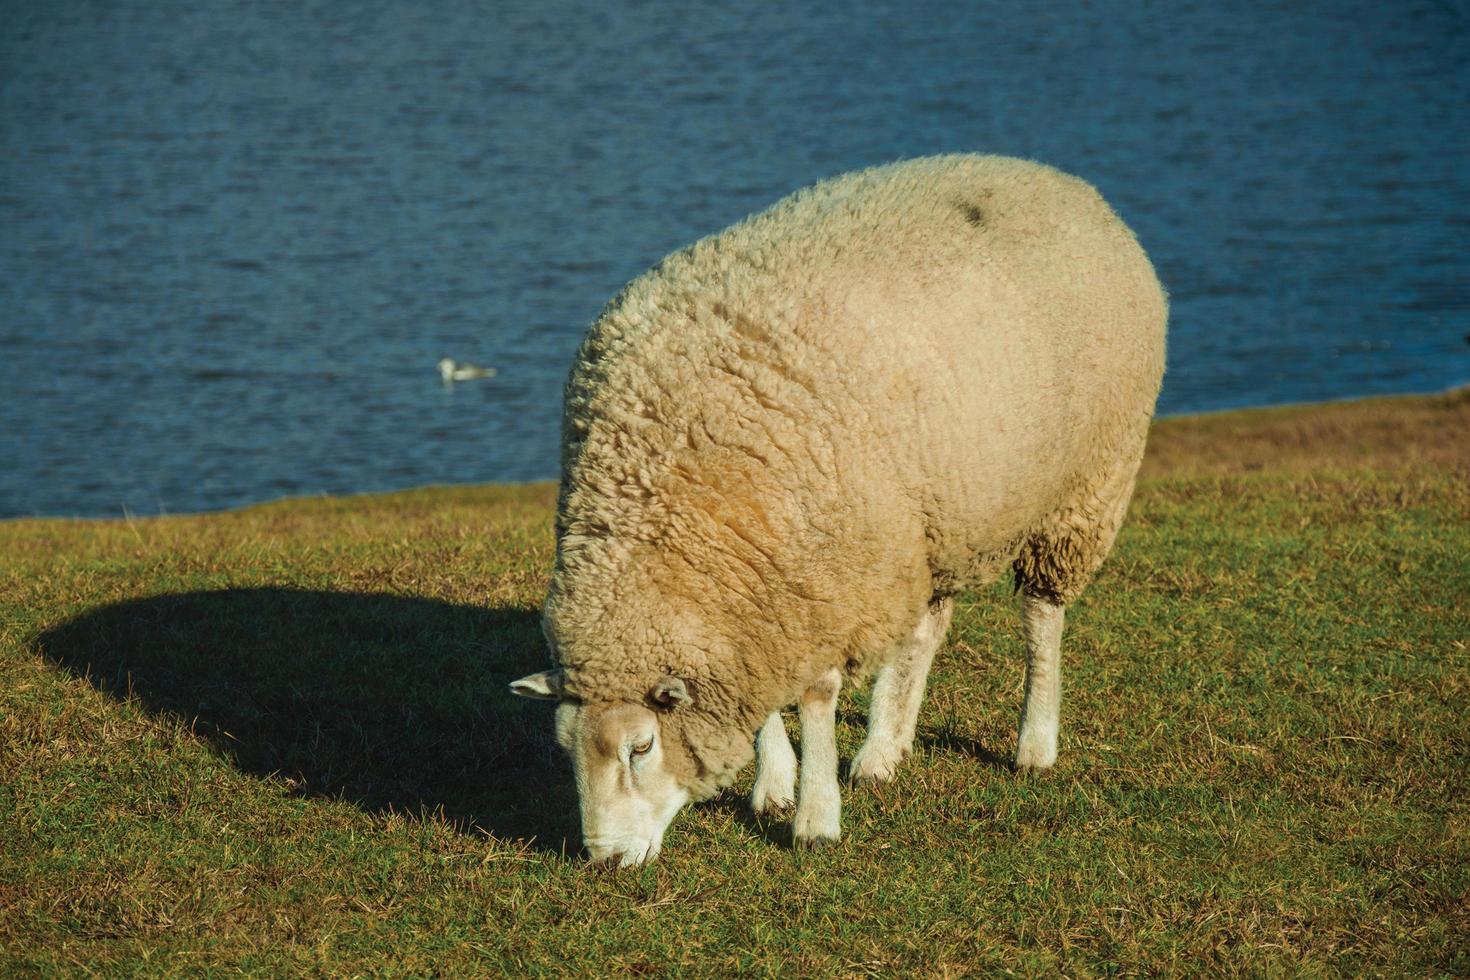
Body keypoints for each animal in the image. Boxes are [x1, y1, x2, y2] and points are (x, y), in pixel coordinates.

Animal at [511, 153, 1164, 863]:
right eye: (566, 750)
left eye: (641, 746)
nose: (605, 859)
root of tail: (1058, 180)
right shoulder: (768, 588)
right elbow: (773, 696)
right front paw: (775, 783)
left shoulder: (824, 569)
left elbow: (818, 697)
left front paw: (816, 818)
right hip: (934, 518)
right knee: (926, 629)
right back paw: (884, 748)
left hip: (1084, 486)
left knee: (1042, 615)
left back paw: (1034, 743)